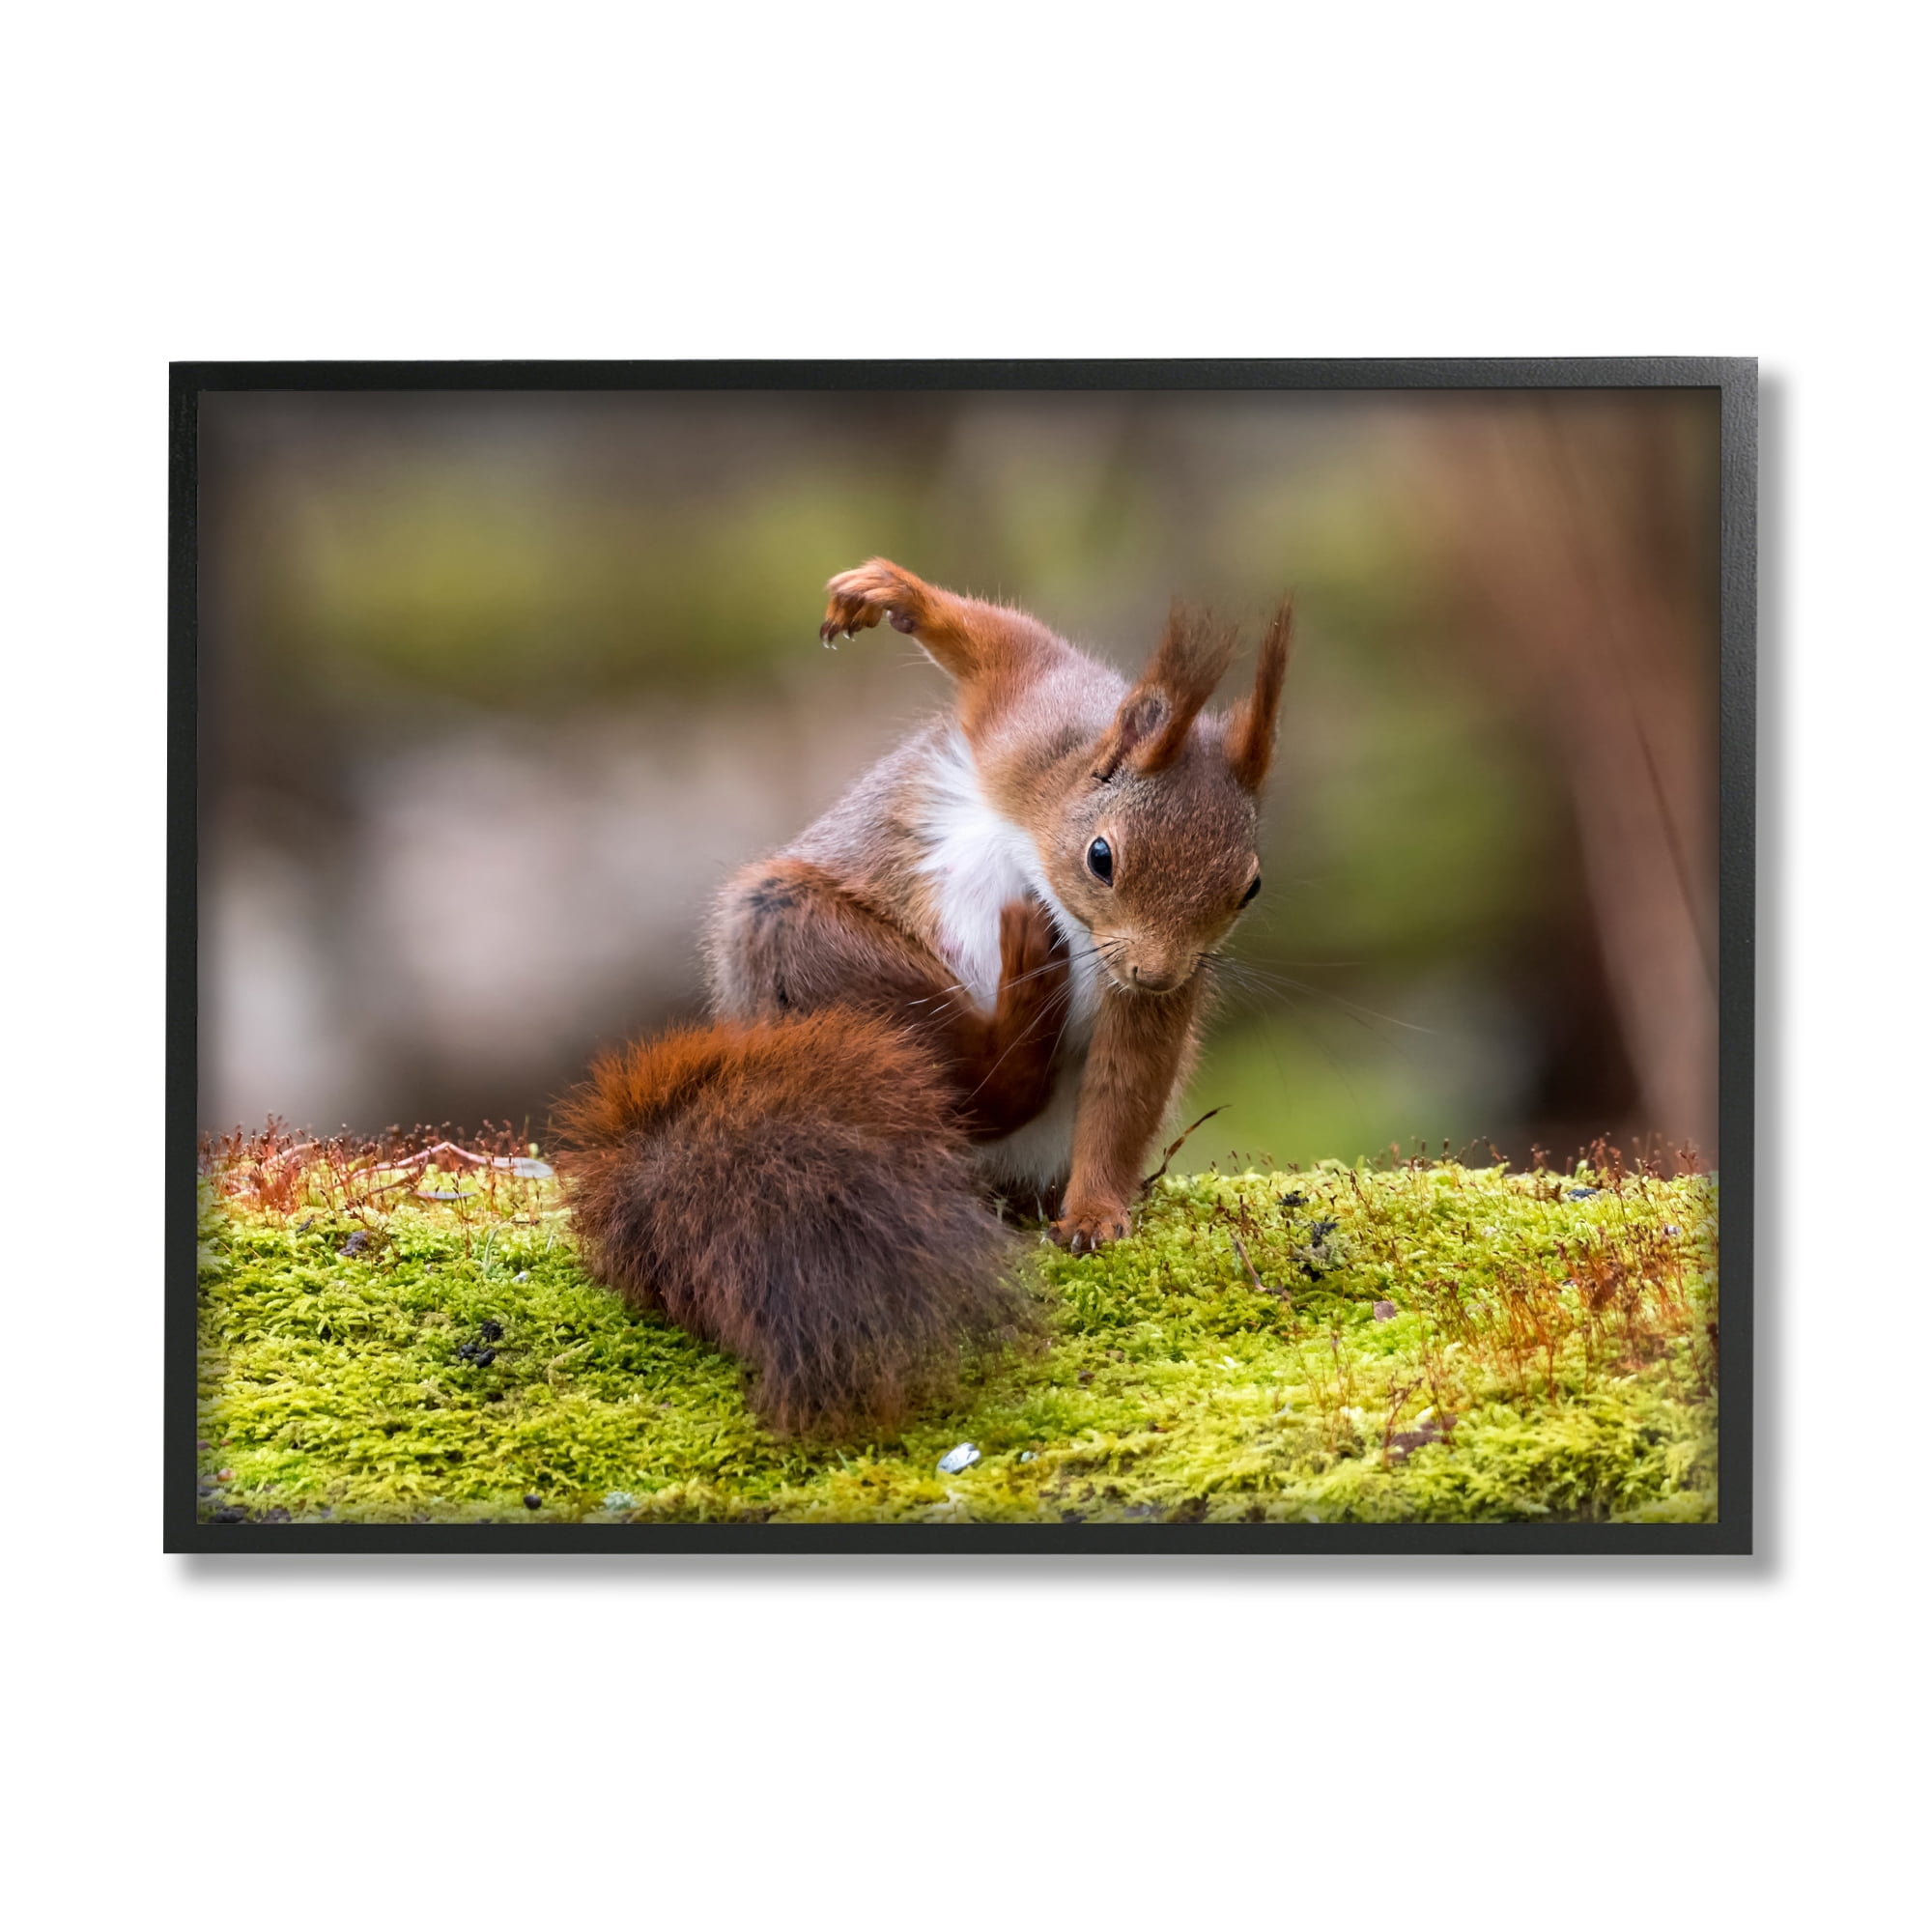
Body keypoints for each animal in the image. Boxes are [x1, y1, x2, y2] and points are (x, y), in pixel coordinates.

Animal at [558, 558, 1291, 1435]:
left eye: (1250, 888)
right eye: (1102, 856)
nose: (1156, 972)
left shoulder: (1144, 995)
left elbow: (1125, 1091)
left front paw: (1093, 1214)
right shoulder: (1029, 721)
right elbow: (1001, 643)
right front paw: (888, 595)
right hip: (798, 935)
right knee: (975, 1084)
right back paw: (1022, 998)